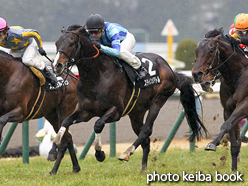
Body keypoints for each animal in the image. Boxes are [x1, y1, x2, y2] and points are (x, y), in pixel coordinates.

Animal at [50, 25, 207, 173]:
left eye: (71, 43)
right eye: (57, 43)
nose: (56, 65)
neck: (97, 76)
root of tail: (169, 68)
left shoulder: (116, 111)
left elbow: (98, 125)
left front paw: (100, 153)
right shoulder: (85, 111)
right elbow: (66, 121)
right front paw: (55, 144)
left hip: (159, 100)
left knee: (146, 130)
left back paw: (127, 153)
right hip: (136, 112)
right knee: (145, 138)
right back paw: (143, 168)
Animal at [193, 26, 248, 171]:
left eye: (211, 50)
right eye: (196, 51)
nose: (196, 74)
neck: (238, 75)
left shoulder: (244, 105)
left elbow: (226, 125)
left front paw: (212, 143)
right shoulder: (228, 109)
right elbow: (233, 140)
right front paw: (234, 171)